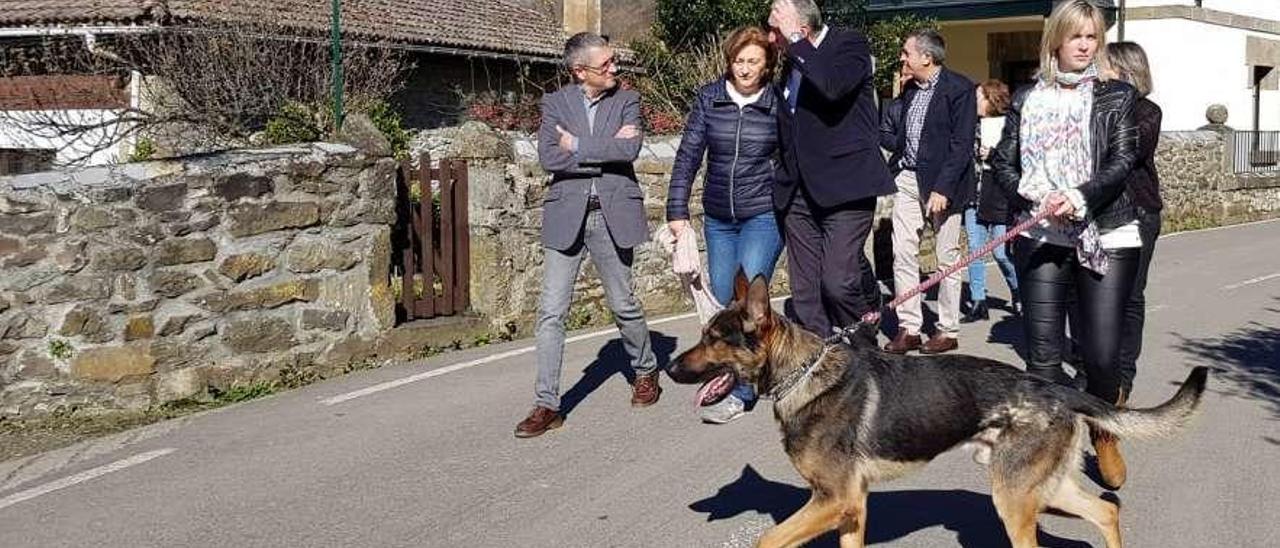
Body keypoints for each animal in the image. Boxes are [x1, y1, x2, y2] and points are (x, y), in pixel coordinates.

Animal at [670, 274, 1208, 548]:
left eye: (714, 339)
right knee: (1107, 510)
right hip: (1039, 488)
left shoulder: (834, 501)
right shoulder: (851, 509)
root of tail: (1053, 388)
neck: (803, 374)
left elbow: (764, 540)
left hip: (1014, 501)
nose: (671, 369)